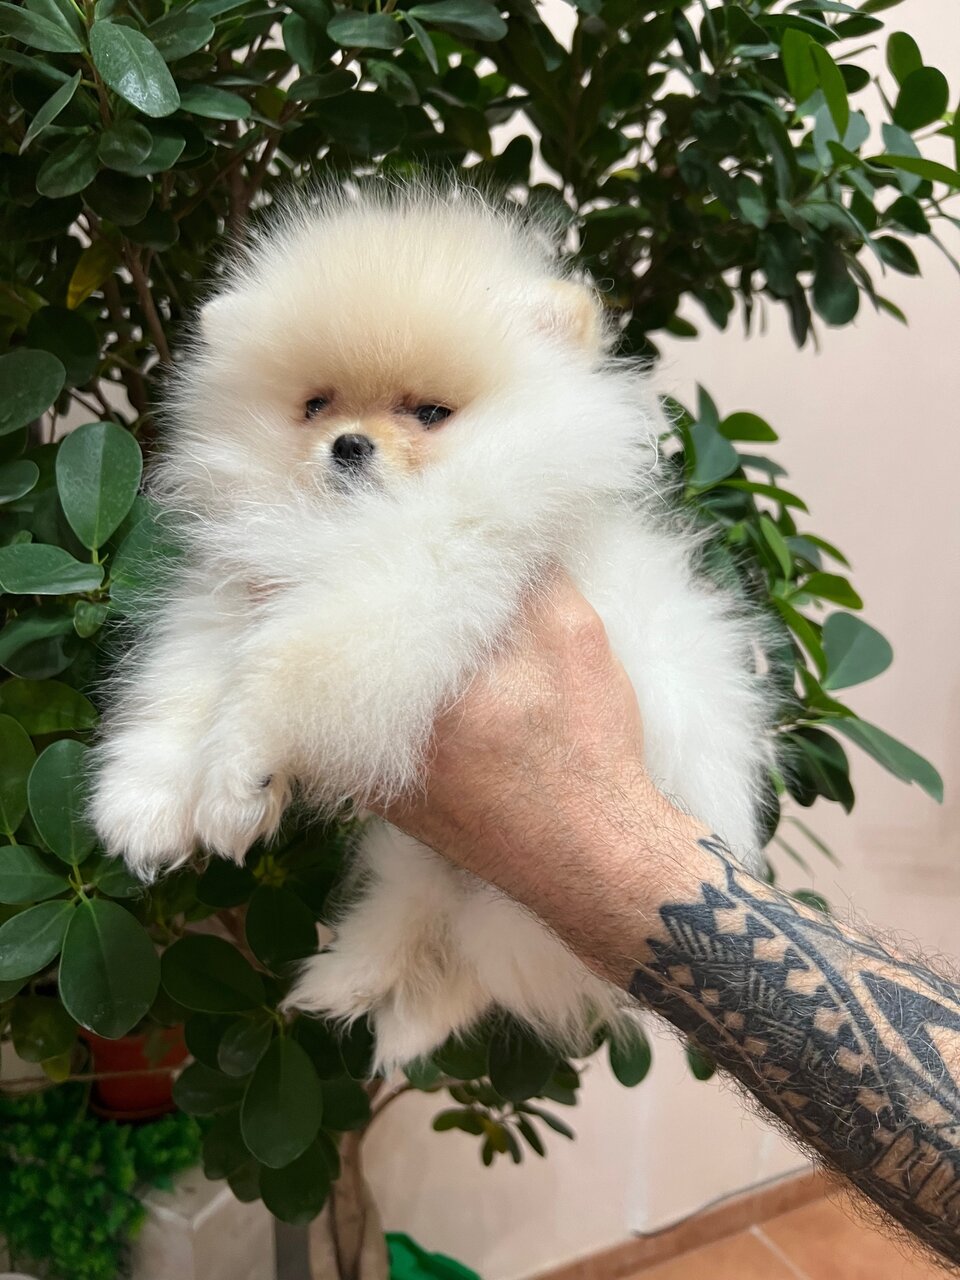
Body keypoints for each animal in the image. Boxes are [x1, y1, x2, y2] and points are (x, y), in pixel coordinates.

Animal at [91, 184, 775, 1072]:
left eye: (430, 412)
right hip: (429, 866)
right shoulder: (237, 590)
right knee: (422, 921)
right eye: (316, 405)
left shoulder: (412, 588)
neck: (346, 531)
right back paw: (346, 984)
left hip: (522, 908)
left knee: (471, 957)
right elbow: (182, 687)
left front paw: (237, 779)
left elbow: (280, 669)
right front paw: (144, 803)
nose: (348, 445)